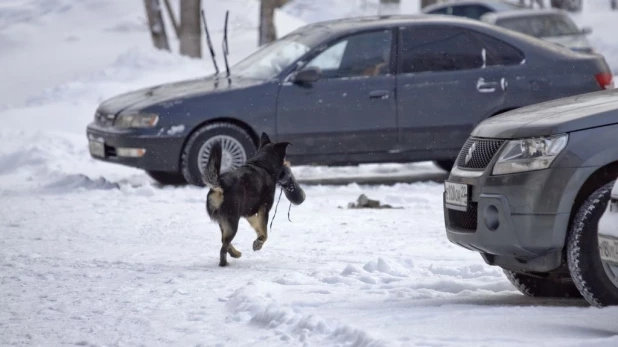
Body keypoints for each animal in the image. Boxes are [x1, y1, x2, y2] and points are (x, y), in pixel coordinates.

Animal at [202, 133, 288, 266]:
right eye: (284, 160)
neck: (262, 165)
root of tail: (221, 184)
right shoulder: (264, 208)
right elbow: (265, 232)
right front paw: (259, 243)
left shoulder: (249, 214)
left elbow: (258, 228)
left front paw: (258, 241)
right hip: (232, 221)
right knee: (223, 247)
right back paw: (224, 263)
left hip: (223, 221)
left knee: (223, 240)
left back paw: (235, 253)